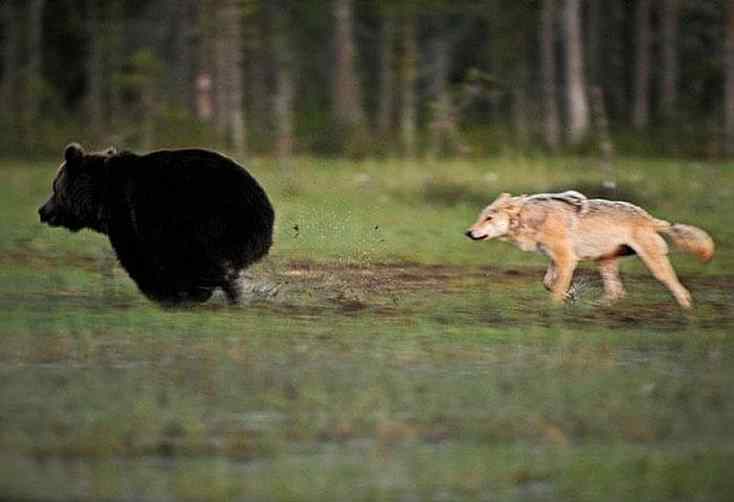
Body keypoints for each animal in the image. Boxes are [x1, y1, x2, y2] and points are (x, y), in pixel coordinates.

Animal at [38, 142, 274, 306]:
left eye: (54, 188)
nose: (42, 211)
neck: (99, 198)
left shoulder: (130, 215)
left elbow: (138, 257)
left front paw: (165, 294)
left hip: (205, 219)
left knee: (203, 260)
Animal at [468, 191, 716, 308]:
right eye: (480, 217)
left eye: (489, 218)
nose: (468, 233)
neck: (532, 219)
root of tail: (650, 218)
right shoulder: (556, 259)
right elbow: (549, 283)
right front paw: (570, 297)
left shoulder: (566, 259)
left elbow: (555, 290)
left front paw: (553, 312)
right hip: (604, 262)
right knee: (617, 293)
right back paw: (594, 307)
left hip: (654, 265)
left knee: (680, 290)